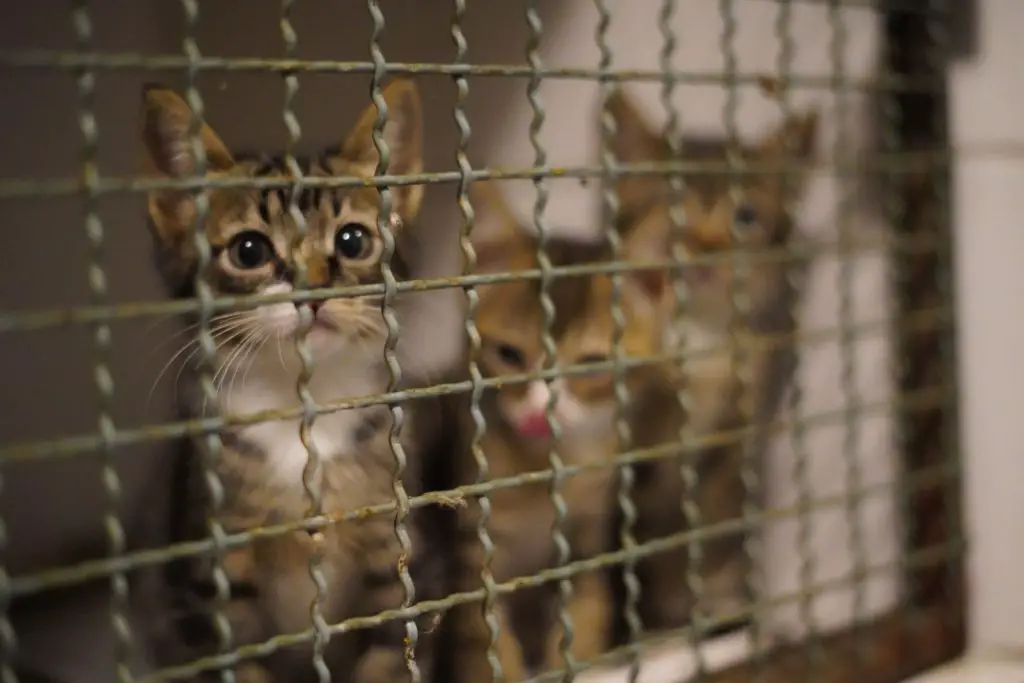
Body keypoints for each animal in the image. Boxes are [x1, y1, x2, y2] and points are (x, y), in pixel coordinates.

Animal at [135, 80, 452, 683]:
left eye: (352, 241)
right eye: (250, 250)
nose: (314, 292)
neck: (303, 406)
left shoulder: (395, 560)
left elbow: (389, 653)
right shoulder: (208, 587)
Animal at [444, 180, 675, 683]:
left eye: (590, 364)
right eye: (509, 354)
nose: (537, 412)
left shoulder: (588, 531)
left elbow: (587, 606)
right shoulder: (475, 546)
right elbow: (482, 630)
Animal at [602, 89, 819, 634]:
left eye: (745, 217)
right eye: (672, 206)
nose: (704, 250)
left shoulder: (739, 425)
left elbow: (716, 514)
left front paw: (714, 599)